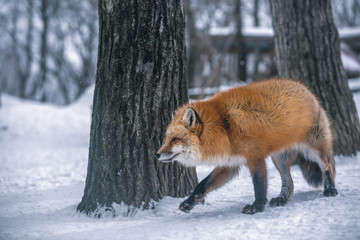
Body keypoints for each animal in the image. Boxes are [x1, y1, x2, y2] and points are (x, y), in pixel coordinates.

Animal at [155, 78, 338, 214]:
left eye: (175, 139)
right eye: (166, 138)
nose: (156, 154)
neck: (225, 126)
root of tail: (306, 89)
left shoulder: (255, 157)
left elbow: (259, 185)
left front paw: (257, 207)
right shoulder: (230, 163)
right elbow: (202, 185)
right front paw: (188, 203)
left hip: (314, 148)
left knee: (327, 166)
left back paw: (330, 189)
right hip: (278, 158)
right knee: (289, 182)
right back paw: (282, 199)